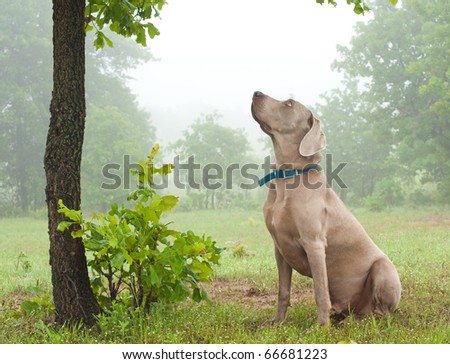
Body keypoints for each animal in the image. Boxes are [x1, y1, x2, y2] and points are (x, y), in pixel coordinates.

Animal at [251, 91, 402, 324]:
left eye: (289, 104)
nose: (256, 93)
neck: (289, 177)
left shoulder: (314, 243)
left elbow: (320, 291)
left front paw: (321, 326)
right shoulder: (279, 248)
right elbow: (283, 291)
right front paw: (277, 321)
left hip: (384, 268)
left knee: (381, 313)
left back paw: (354, 321)